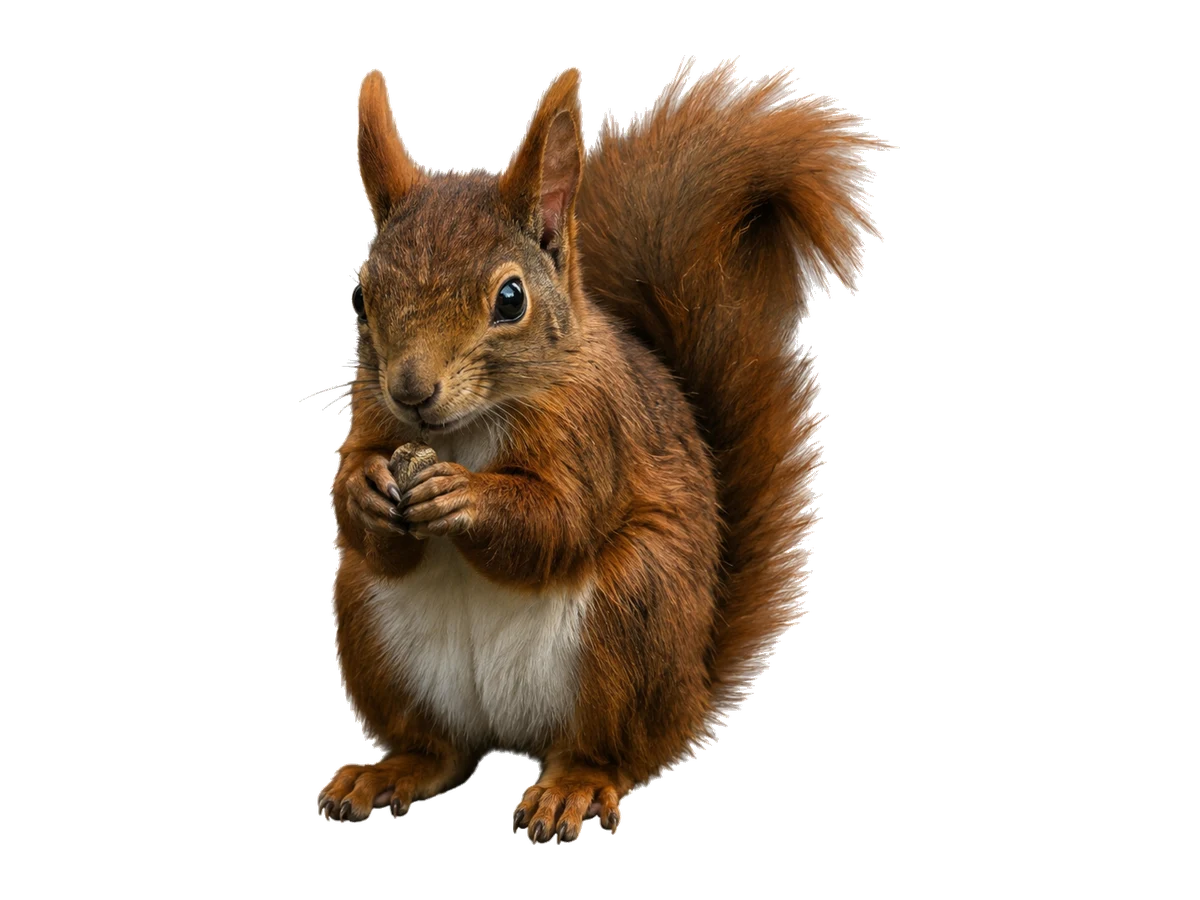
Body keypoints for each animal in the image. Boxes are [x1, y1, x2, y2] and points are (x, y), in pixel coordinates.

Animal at [320, 61, 879, 841]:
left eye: (511, 299)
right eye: (359, 299)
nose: (411, 391)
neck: (462, 429)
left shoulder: (595, 433)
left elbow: (557, 523)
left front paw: (465, 495)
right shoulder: (375, 423)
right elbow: (366, 514)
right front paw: (364, 487)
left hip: (632, 616)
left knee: (609, 749)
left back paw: (572, 788)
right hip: (371, 625)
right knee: (442, 750)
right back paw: (388, 772)